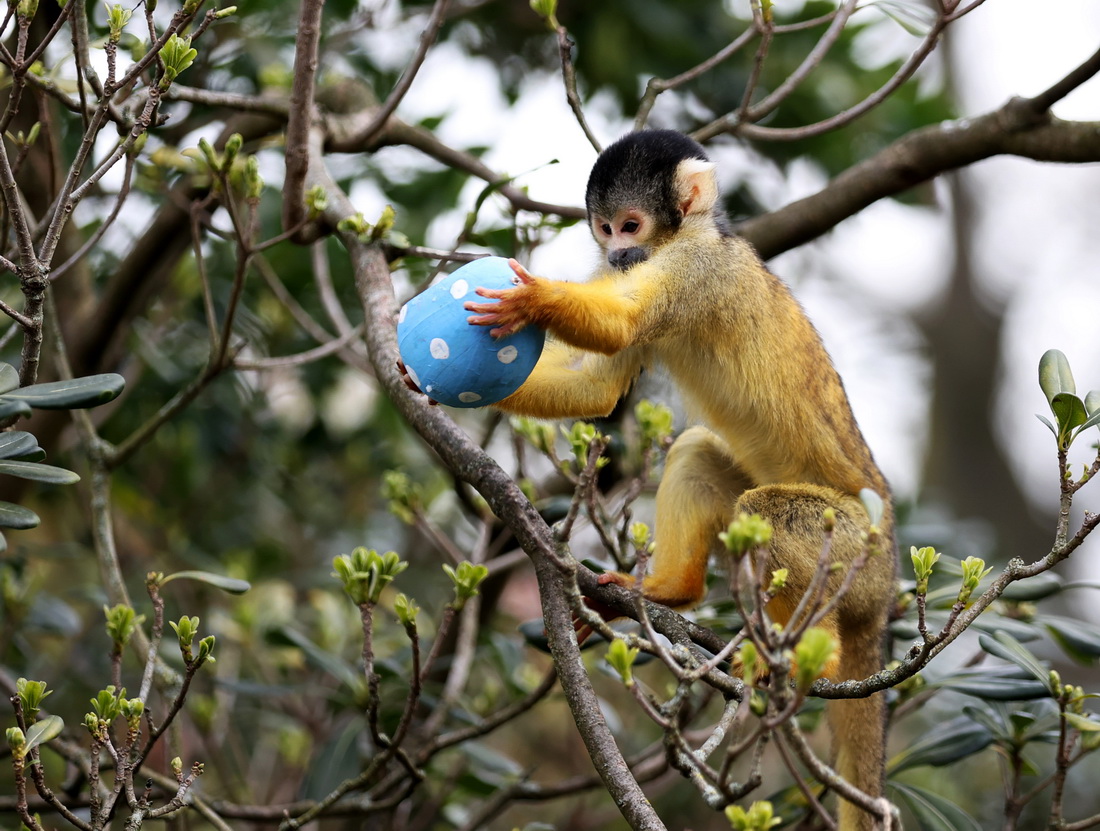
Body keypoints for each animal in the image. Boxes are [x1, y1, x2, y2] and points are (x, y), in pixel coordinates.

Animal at [459, 131, 897, 831]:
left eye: (631, 225)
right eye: (605, 228)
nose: (617, 251)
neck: (685, 237)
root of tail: (885, 596)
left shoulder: (697, 269)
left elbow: (624, 321)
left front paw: (532, 300)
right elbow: (595, 382)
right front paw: (413, 374)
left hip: (860, 546)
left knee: (769, 510)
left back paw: (813, 653)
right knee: (695, 454)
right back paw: (671, 591)